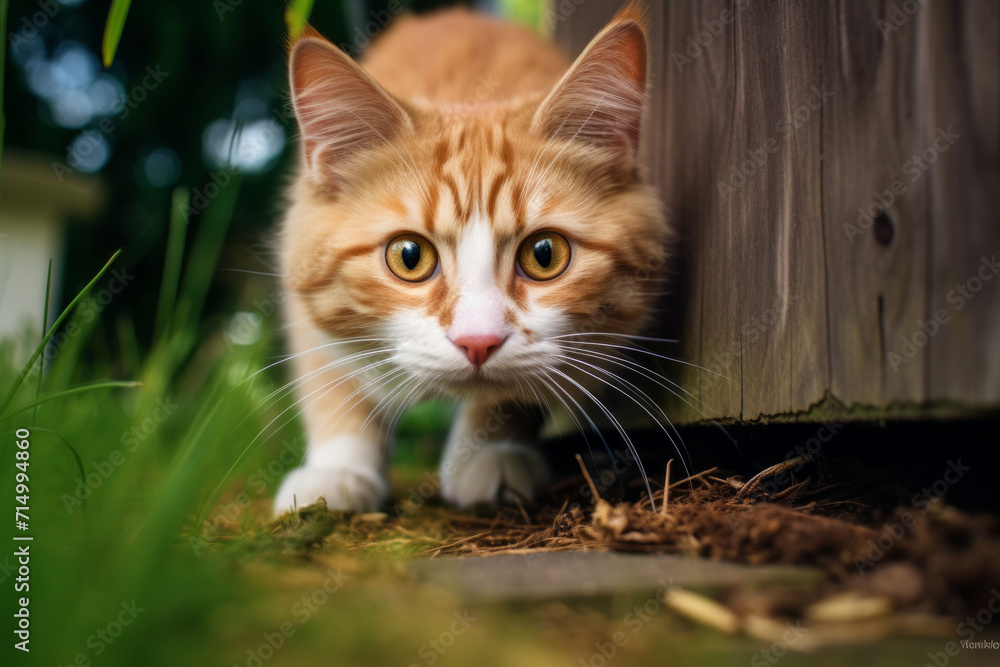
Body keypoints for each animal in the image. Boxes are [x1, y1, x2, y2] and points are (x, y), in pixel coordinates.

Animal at [274, 0, 668, 516]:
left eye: (544, 255)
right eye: (409, 256)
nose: (477, 343)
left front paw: (490, 451)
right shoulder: (304, 297)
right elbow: (333, 383)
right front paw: (338, 470)